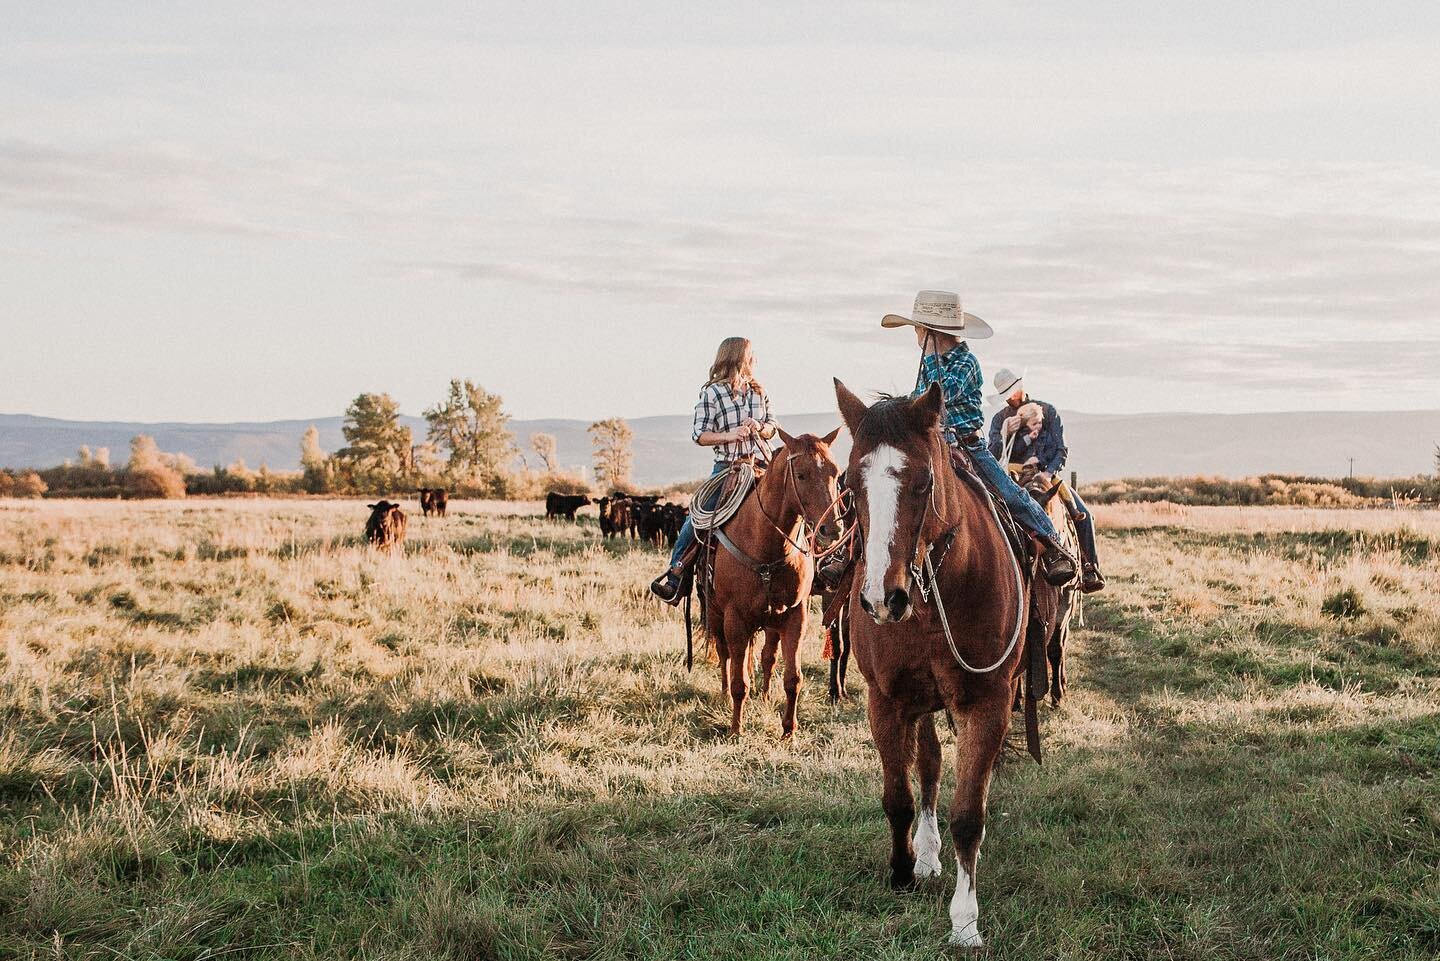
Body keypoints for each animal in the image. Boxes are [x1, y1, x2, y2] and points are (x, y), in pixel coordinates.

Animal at [705, 429, 840, 737]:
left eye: (836, 472)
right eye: (801, 475)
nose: (832, 529)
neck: (765, 543)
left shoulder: (795, 615)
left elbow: (793, 678)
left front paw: (789, 731)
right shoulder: (735, 619)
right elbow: (739, 680)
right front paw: (736, 729)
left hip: (770, 621)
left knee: (768, 656)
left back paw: (765, 695)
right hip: (715, 613)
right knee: (723, 654)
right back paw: (723, 695)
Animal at [835, 380, 1036, 950]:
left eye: (924, 481)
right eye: (850, 483)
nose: (882, 599)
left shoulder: (986, 705)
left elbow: (969, 815)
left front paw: (965, 921)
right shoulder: (885, 700)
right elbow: (899, 796)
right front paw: (903, 870)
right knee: (927, 765)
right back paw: (926, 855)